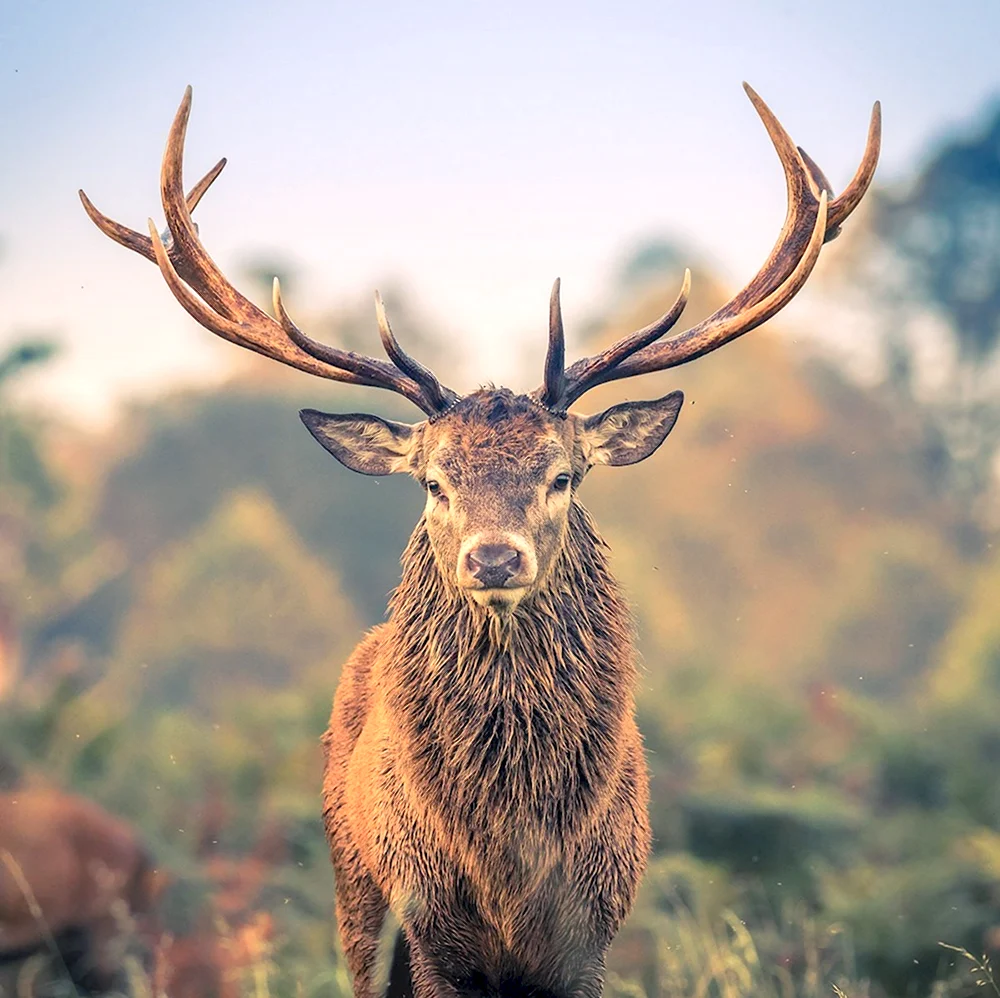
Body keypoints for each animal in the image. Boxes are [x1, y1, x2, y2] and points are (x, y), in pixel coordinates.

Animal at [82, 84, 880, 998]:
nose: (494, 557)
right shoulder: (425, 919)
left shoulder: (592, 927)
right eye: (434, 483)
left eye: (563, 476)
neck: (508, 854)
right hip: (354, 899)